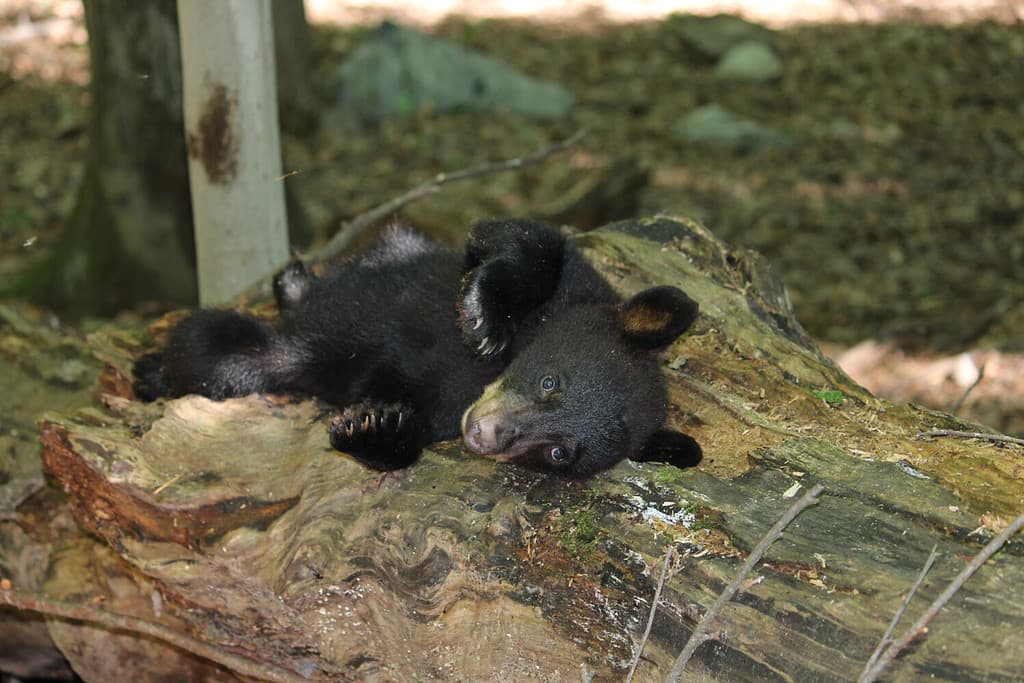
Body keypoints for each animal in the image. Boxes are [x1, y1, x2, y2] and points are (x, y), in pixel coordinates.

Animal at [133, 218, 702, 478]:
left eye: (559, 452)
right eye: (550, 381)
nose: (485, 435)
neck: (477, 383)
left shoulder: (442, 414)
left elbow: (408, 433)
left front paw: (372, 426)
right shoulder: (575, 285)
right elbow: (524, 240)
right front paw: (482, 313)